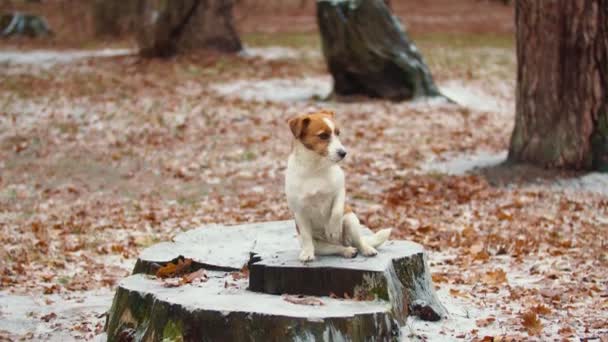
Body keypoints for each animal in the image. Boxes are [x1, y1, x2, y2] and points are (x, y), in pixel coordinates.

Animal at [284, 109, 392, 262]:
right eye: (323, 136)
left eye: (338, 133)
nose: (343, 153)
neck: (315, 169)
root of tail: (344, 242)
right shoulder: (299, 211)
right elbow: (306, 236)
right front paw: (307, 253)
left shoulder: (340, 191)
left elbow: (335, 211)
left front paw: (333, 229)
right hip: (320, 246)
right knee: (336, 247)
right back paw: (347, 251)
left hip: (351, 220)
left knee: (358, 241)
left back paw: (366, 249)